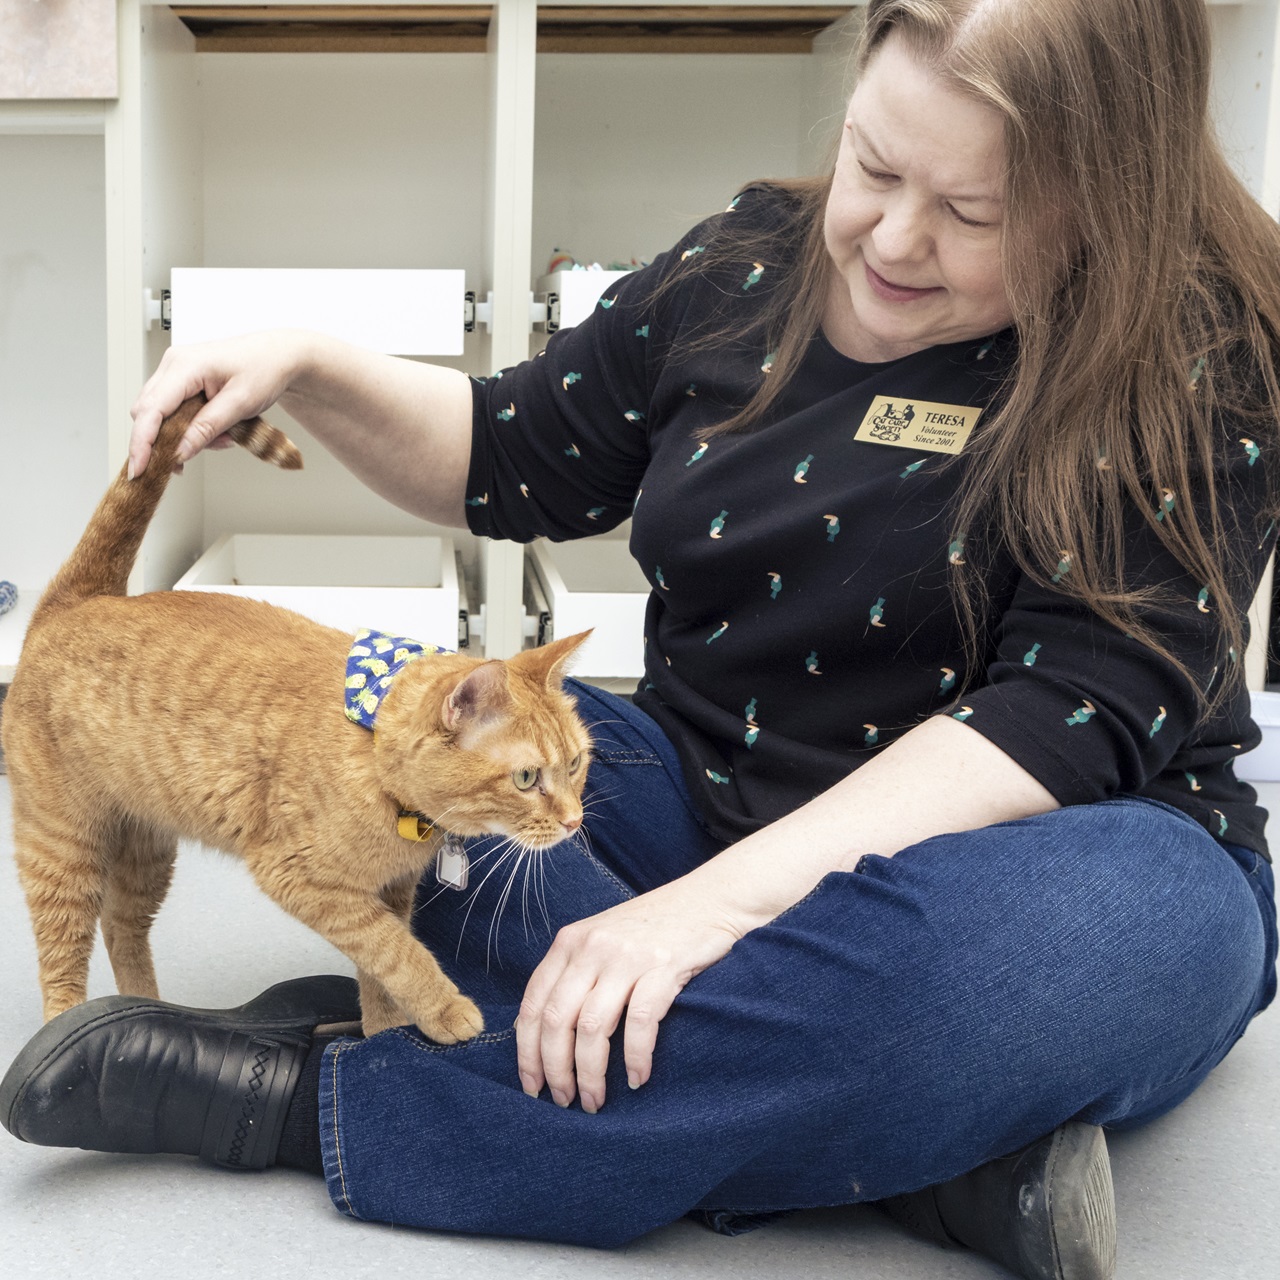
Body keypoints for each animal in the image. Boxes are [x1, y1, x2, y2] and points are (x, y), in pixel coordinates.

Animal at [2, 399, 591, 1039]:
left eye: (577, 764)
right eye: (527, 778)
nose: (574, 821)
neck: (372, 754)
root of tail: (80, 600)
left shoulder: (390, 892)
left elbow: (379, 975)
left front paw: (382, 1033)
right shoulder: (305, 880)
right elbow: (396, 953)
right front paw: (445, 1010)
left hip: (146, 851)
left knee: (122, 925)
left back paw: (142, 1007)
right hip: (63, 847)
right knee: (63, 956)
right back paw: (67, 1026)